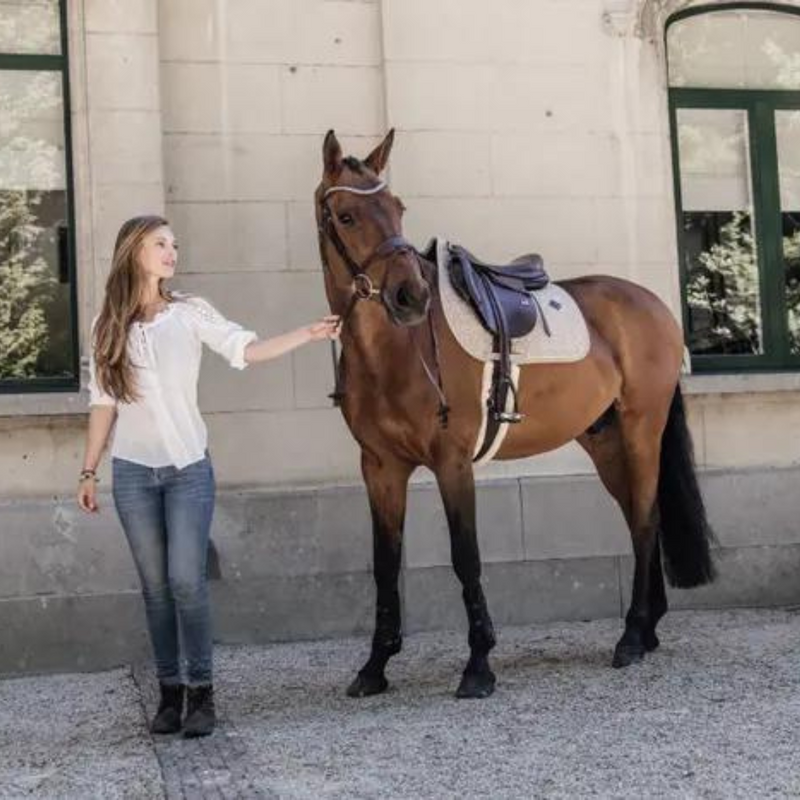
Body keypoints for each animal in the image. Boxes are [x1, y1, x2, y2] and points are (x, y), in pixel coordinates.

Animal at [316, 128, 716, 696]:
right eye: (347, 216)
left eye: (397, 208)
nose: (410, 295)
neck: (397, 349)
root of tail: (655, 304)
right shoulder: (380, 468)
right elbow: (385, 564)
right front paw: (374, 666)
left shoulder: (452, 462)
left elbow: (466, 557)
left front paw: (479, 664)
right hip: (605, 441)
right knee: (645, 515)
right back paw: (649, 628)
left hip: (642, 431)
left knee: (642, 521)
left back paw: (632, 637)